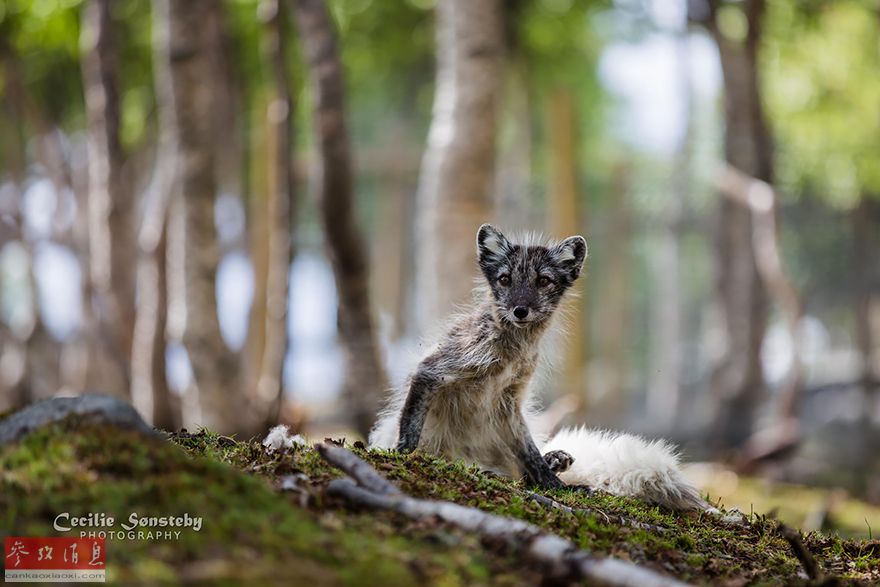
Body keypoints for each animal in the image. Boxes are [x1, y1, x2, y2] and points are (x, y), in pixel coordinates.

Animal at [372, 223, 708, 512]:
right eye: (505, 279)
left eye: (543, 281)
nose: (520, 310)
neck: (510, 354)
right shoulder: (436, 368)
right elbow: (410, 430)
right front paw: (400, 455)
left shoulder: (509, 401)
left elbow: (529, 452)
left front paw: (555, 485)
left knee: (524, 465)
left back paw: (554, 460)